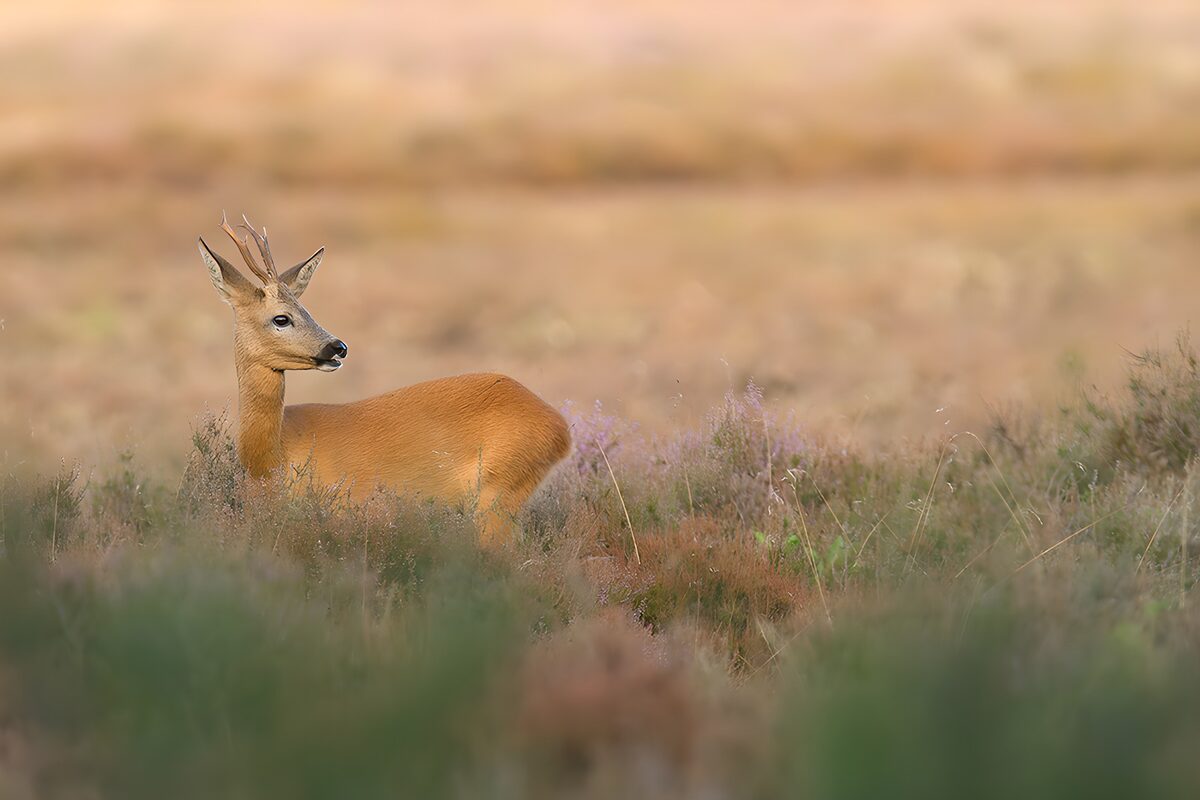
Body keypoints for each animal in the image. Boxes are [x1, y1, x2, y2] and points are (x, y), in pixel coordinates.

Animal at [198, 214, 571, 545]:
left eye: (306, 310)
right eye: (282, 318)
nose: (337, 347)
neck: (270, 459)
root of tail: (560, 428)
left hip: (499, 491)